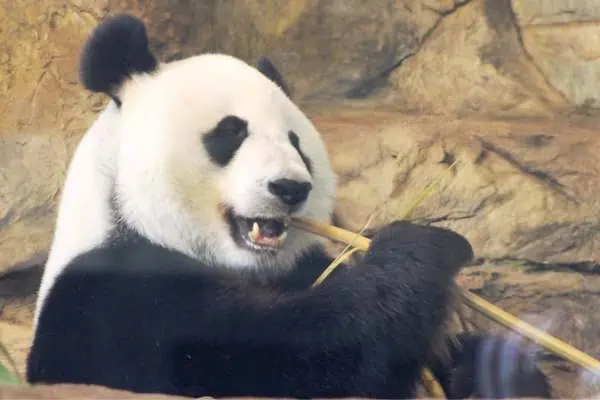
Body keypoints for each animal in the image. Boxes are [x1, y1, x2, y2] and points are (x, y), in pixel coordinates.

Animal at [28, 14, 552, 398]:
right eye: (230, 132)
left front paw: (488, 371)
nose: (290, 188)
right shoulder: (113, 299)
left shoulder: (303, 268)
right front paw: (425, 249)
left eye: (296, 142)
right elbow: (295, 351)